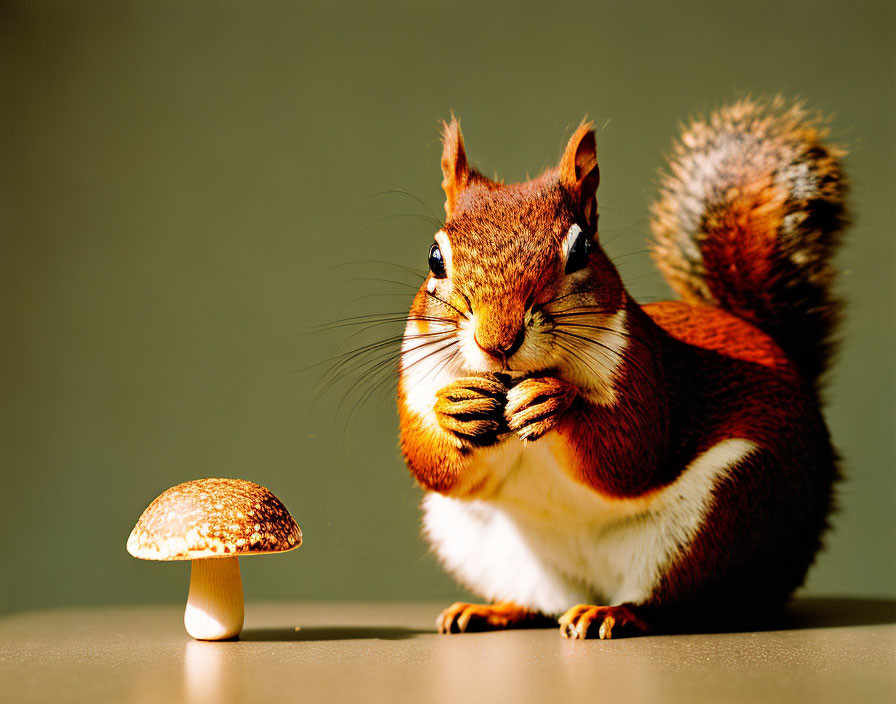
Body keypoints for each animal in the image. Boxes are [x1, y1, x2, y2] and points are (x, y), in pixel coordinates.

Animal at [398, 99, 848, 640]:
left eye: (581, 251)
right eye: (435, 258)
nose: (497, 342)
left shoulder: (645, 371)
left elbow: (631, 453)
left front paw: (555, 401)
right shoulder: (418, 367)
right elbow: (428, 460)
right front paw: (454, 409)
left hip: (724, 515)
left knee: (680, 605)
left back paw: (614, 613)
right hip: (480, 541)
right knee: (538, 602)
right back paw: (493, 610)